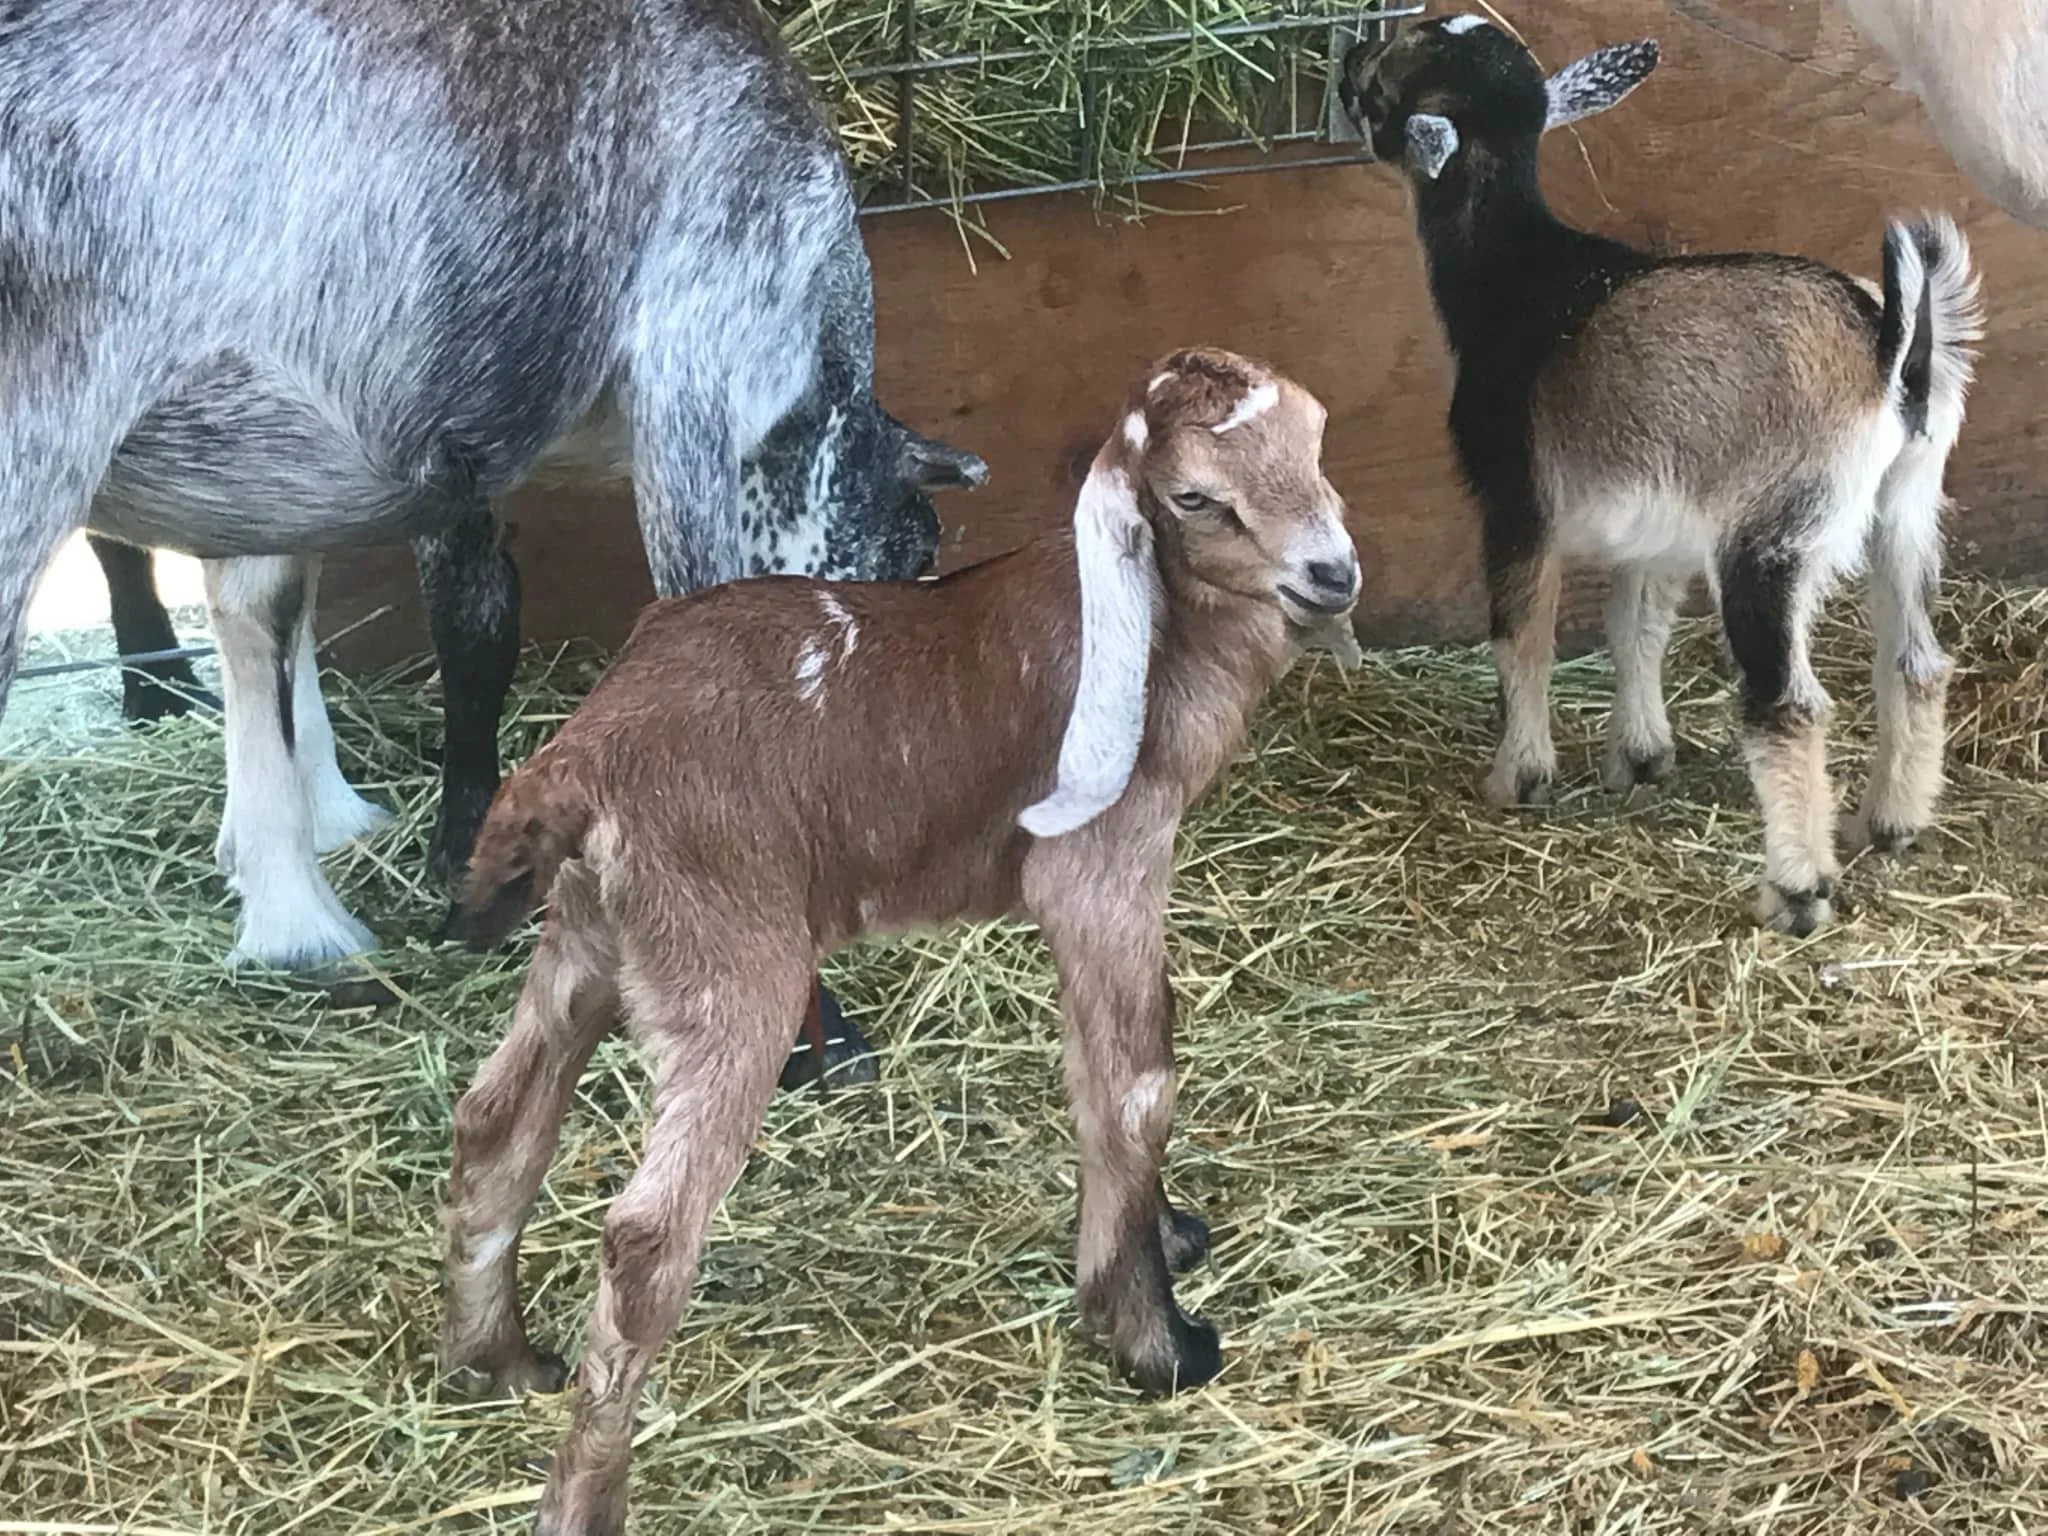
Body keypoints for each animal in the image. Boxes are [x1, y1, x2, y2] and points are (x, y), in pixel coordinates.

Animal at [0, 0, 984, 985]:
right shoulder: (686, 352)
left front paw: (297, 852)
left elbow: (276, 605)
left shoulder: (329, 451)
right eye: (912, 558)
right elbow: (506, 619)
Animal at [437, 348, 1362, 1536]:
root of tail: (581, 756)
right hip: (731, 962)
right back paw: (582, 1498)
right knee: (645, 1239)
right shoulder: (1102, 865)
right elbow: (1135, 1085)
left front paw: (1157, 1242)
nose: (1332, 574)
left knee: (497, 1122)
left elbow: (1093, 1073)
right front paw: (1154, 1339)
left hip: (595, 935)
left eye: (1317, 437)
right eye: (1195, 497)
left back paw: (492, 1358)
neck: (1161, 634)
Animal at [1341, 15, 1983, 936]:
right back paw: (1889, 824)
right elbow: (1634, 625)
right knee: (1917, 660)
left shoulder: (1515, 500)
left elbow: (1520, 633)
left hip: (1772, 535)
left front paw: (1517, 777)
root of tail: (1891, 344)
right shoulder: (1657, 524)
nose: (1347, 60)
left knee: (1786, 703)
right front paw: (1640, 758)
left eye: (1381, 89)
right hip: (1908, 504)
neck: (1517, 274)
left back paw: (1797, 890)